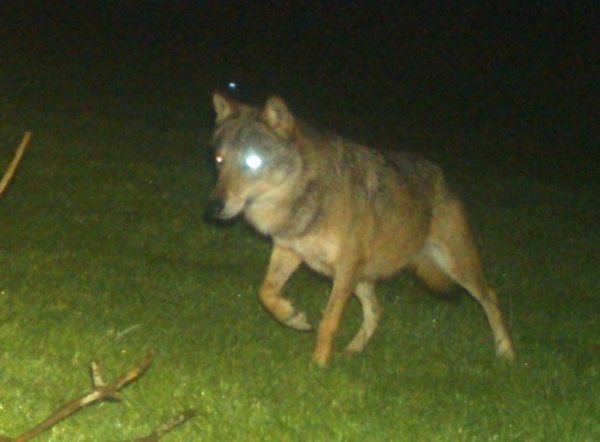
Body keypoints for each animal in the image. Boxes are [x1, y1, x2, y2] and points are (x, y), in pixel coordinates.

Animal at [206, 92, 516, 366]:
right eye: (220, 160)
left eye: (252, 161)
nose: (213, 207)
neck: (305, 196)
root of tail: (442, 179)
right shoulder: (288, 250)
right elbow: (266, 293)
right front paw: (293, 318)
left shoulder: (344, 268)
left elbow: (328, 324)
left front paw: (318, 368)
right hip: (363, 278)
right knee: (377, 311)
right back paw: (353, 351)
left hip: (456, 267)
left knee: (491, 296)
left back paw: (506, 352)